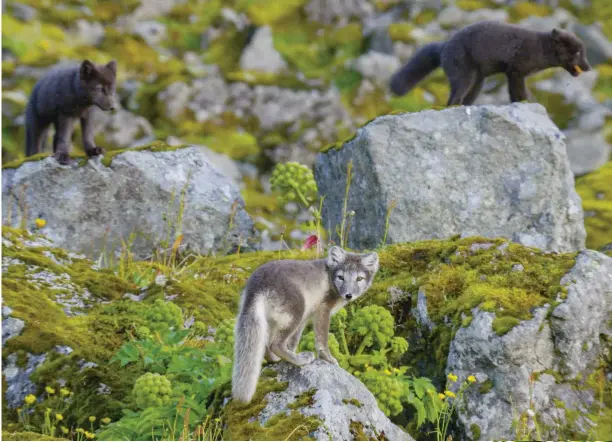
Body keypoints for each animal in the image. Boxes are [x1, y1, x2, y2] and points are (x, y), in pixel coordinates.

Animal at [233, 245, 380, 404]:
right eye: (341, 277)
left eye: (359, 278)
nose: (348, 295)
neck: (329, 278)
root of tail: (257, 286)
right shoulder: (322, 310)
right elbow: (322, 340)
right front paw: (328, 359)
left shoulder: (305, 318)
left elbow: (294, 341)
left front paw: (289, 358)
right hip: (296, 311)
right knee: (275, 344)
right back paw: (300, 361)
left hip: (273, 321)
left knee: (267, 346)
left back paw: (278, 360)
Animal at [390, 21, 592, 106]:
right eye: (577, 53)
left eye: (583, 52)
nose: (589, 67)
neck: (540, 48)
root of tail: (444, 46)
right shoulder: (516, 71)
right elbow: (518, 92)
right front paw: (525, 102)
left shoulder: (514, 74)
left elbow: (515, 93)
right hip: (466, 77)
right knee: (453, 100)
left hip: (477, 83)